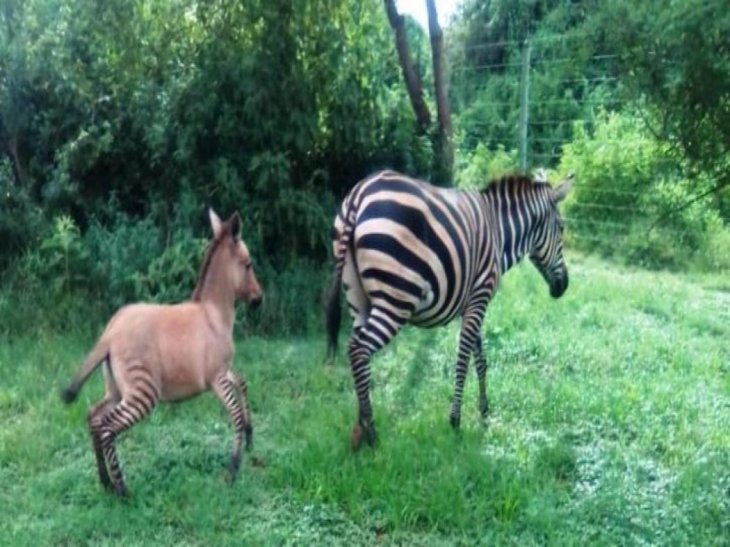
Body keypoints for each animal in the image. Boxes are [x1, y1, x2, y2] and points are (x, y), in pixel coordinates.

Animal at [325, 169, 575, 449]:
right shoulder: (480, 297)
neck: (499, 232)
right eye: (562, 228)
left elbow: (481, 359)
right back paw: (371, 434)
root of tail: (359, 193)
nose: (563, 286)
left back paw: (359, 429)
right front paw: (455, 421)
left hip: (357, 298)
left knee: (355, 351)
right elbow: (463, 359)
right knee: (359, 349)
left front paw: (484, 413)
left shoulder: (472, 303)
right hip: (396, 298)